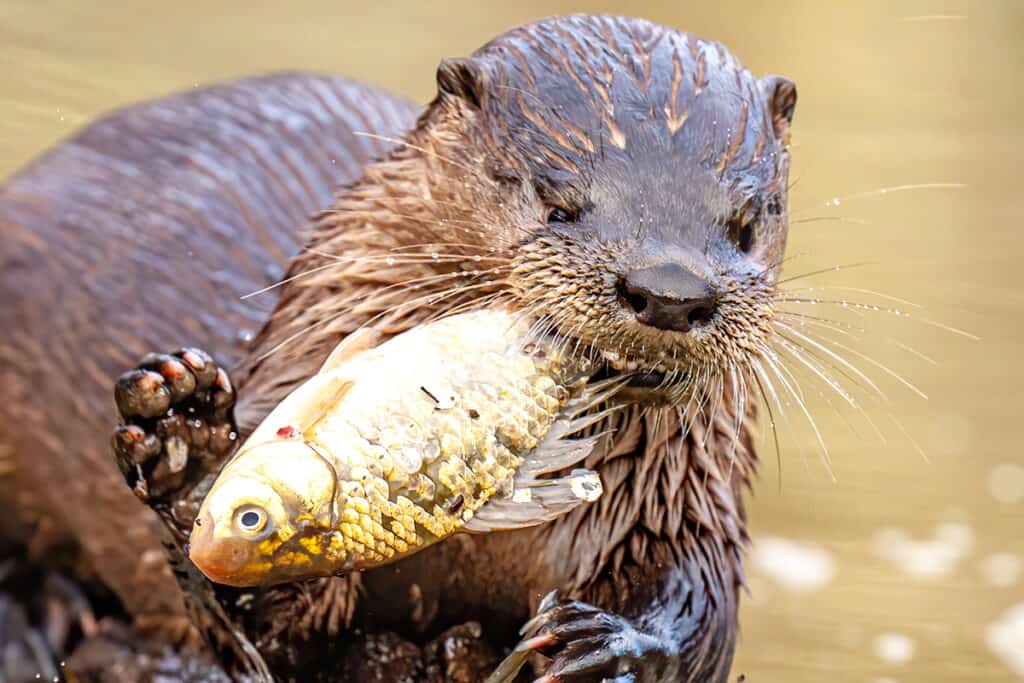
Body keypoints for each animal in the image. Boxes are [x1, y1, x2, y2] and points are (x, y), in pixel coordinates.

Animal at [0, 15, 794, 683]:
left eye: (746, 221)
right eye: (556, 202)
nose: (670, 290)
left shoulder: (684, 507)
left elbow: (703, 609)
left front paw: (609, 640)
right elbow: (259, 624)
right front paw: (185, 446)